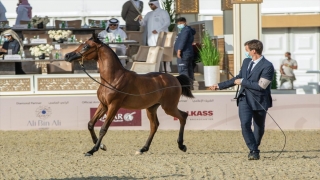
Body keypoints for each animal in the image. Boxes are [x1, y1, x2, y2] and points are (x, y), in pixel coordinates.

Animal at [64, 34, 194, 156]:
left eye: (86, 46)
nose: (67, 56)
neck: (113, 78)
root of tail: (175, 79)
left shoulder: (114, 106)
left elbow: (103, 128)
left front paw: (92, 150)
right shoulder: (103, 105)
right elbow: (90, 124)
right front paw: (101, 146)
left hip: (169, 107)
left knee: (183, 116)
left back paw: (181, 145)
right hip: (151, 108)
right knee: (154, 125)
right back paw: (143, 149)